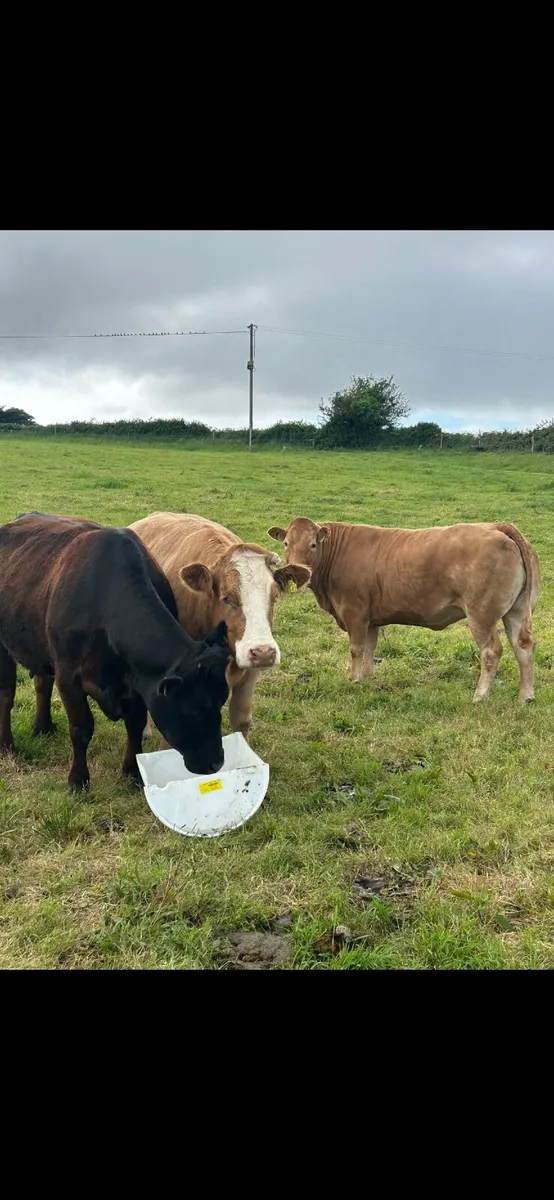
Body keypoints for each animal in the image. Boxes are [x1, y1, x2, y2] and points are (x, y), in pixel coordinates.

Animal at [0, 512, 231, 791]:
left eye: (222, 700)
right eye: (193, 709)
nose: (216, 763)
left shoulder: (140, 683)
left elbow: (135, 724)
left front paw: (132, 773)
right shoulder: (68, 676)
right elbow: (81, 729)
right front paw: (78, 780)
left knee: (42, 684)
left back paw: (42, 727)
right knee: (6, 695)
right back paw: (7, 745)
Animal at [267, 517, 540, 703]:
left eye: (313, 544)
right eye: (286, 543)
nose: (295, 569)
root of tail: (496, 526)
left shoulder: (354, 612)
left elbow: (356, 648)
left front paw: (354, 679)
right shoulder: (371, 618)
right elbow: (370, 647)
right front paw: (369, 678)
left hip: (481, 615)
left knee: (491, 651)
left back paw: (480, 695)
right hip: (515, 612)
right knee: (523, 647)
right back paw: (525, 696)